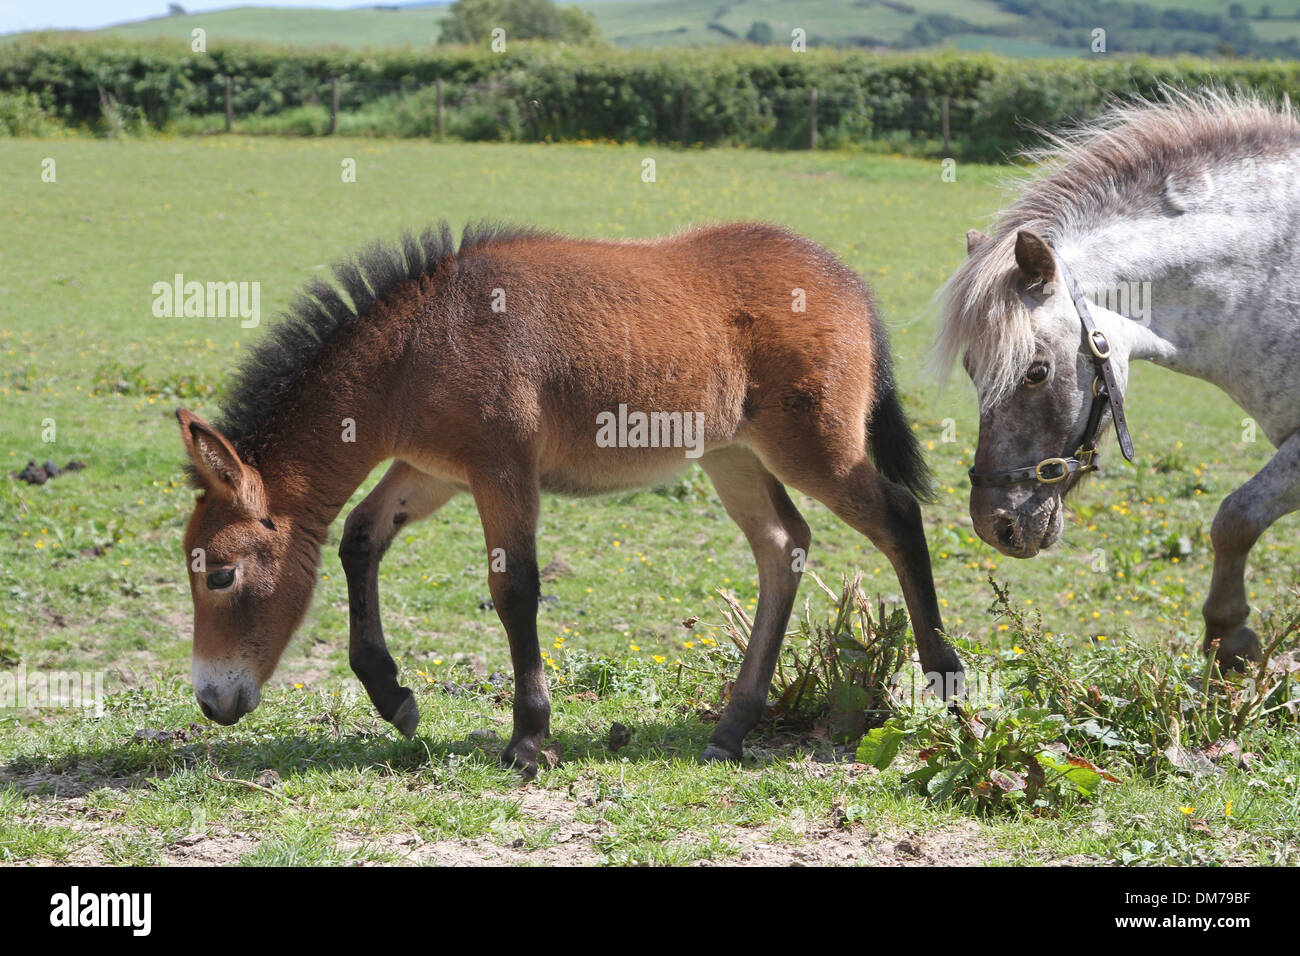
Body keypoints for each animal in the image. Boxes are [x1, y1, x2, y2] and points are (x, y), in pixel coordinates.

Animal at [178, 221, 961, 775]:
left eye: (221, 575)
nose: (213, 702)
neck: (412, 352)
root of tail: (851, 285)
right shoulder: (434, 470)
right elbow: (360, 538)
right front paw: (393, 696)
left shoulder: (501, 468)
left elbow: (515, 588)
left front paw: (529, 739)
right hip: (734, 457)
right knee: (783, 546)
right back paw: (732, 728)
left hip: (813, 448)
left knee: (897, 515)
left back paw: (947, 682)